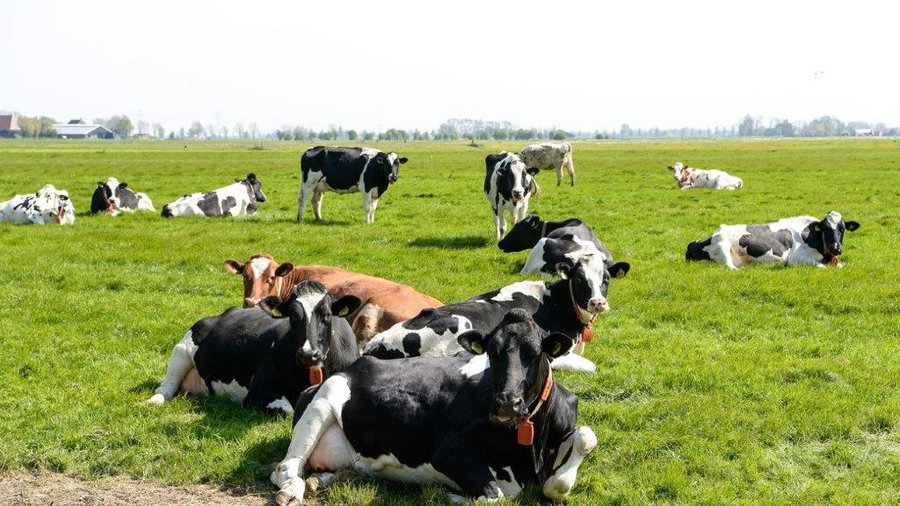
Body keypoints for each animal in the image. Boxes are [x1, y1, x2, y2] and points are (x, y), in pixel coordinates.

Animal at [146, 280, 360, 416]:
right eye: (292, 316)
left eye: (327, 315)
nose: (308, 355)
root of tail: (224, 313)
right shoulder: (256, 392)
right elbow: (288, 409)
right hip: (182, 349)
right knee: (167, 386)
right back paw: (153, 401)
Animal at [270, 310, 600, 504]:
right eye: (492, 352)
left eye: (535, 353)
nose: (506, 402)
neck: (531, 451)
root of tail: (354, 365)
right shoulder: (449, 452)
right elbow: (495, 497)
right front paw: (450, 495)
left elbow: (585, 438)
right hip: (324, 399)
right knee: (285, 468)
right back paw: (293, 490)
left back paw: (321, 480)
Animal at [684, 211, 860, 268]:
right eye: (826, 228)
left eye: (842, 229)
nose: (836, 248)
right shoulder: (795, 259)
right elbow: (822, 267)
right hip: (722, 246)